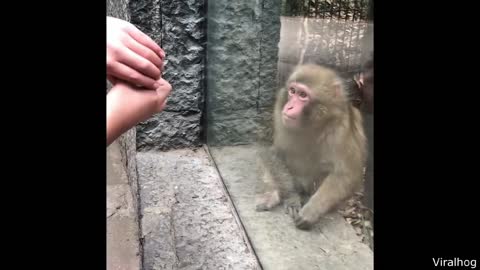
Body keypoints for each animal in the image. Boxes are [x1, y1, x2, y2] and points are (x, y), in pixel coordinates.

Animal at [255, 63, 368, 230]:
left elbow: (346, 173)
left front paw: (312, 210)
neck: (311, 122)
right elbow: (272, 152)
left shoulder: (341, 127)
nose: (289, 107)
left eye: (303, 95)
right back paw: (275, 194)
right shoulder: (279, 109)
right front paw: (291, 197)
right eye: (292, 91)